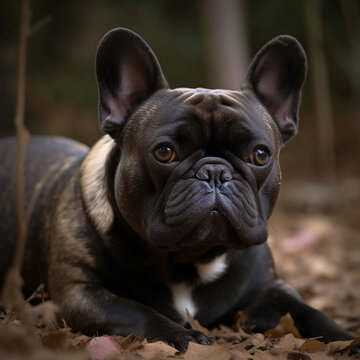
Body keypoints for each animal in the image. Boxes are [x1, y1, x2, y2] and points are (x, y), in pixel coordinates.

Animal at [0, 27, 354, 352]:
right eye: (165, 152)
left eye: (260, 155)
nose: (215, 172)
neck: (190, 261)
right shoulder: (81, 293)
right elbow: (135, 311)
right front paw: (185, 336)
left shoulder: (268, 290)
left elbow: (307, 311)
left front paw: (346, 339)